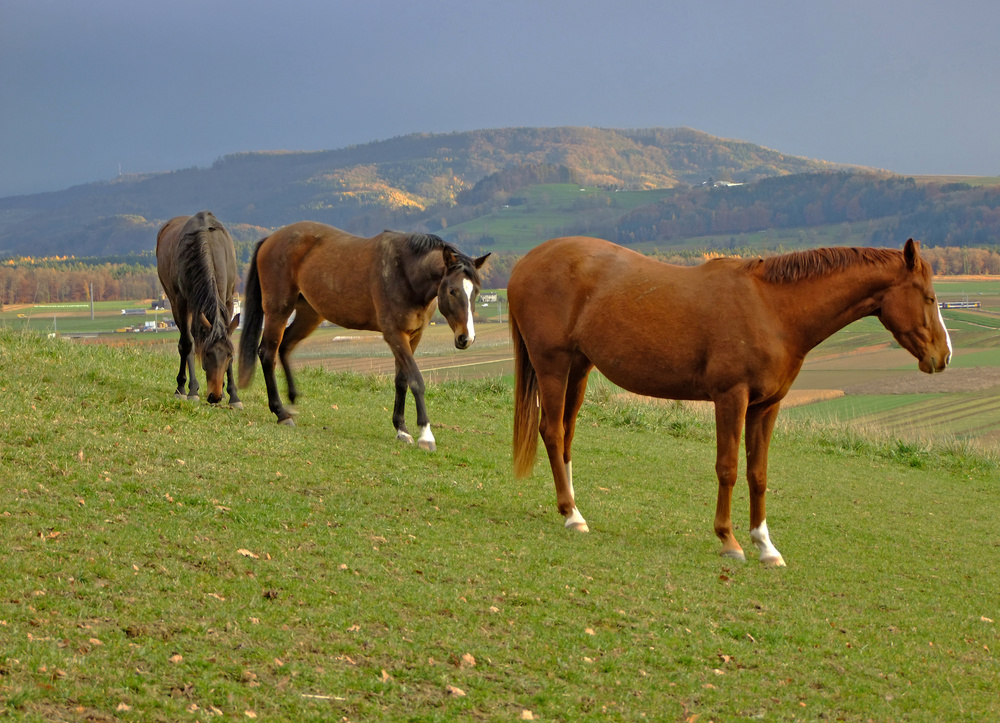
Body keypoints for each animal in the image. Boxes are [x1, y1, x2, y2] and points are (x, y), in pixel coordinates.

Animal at [156, 212, 242, 410]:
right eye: (207, 354)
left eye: (229, 355)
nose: (215, 396)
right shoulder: (182, 301)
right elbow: (188, 344)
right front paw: (190, 391)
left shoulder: (228, 300)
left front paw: (233, 395)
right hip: (177, 302)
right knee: (187, 343)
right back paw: (185, 388)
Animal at [238, 221, 488, 450]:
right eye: (452, 290)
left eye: (475, 291)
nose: (466, 338)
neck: (405, 272)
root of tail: (271, 238)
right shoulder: (394, 335)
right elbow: (416, 380)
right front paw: (425, 434)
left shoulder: (413, 336)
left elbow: (401, 380)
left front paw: (401, 429)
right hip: (278, 311)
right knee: (267, 353)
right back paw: (280, 412)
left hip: (309, 314)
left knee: (285, 347)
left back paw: (291, 403)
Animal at [512, 238, 948, 564]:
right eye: (928, 297)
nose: (943, 356)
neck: (772, 309)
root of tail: (525, 262)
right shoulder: (731, 399)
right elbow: (729, 468)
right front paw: (729, 541)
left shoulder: (766, 407)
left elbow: (759, 474)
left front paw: (766, 546)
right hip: (553, 366)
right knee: (552, 432)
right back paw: (570, 515)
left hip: (579, 369)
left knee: (567, 437)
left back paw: (574, 510)